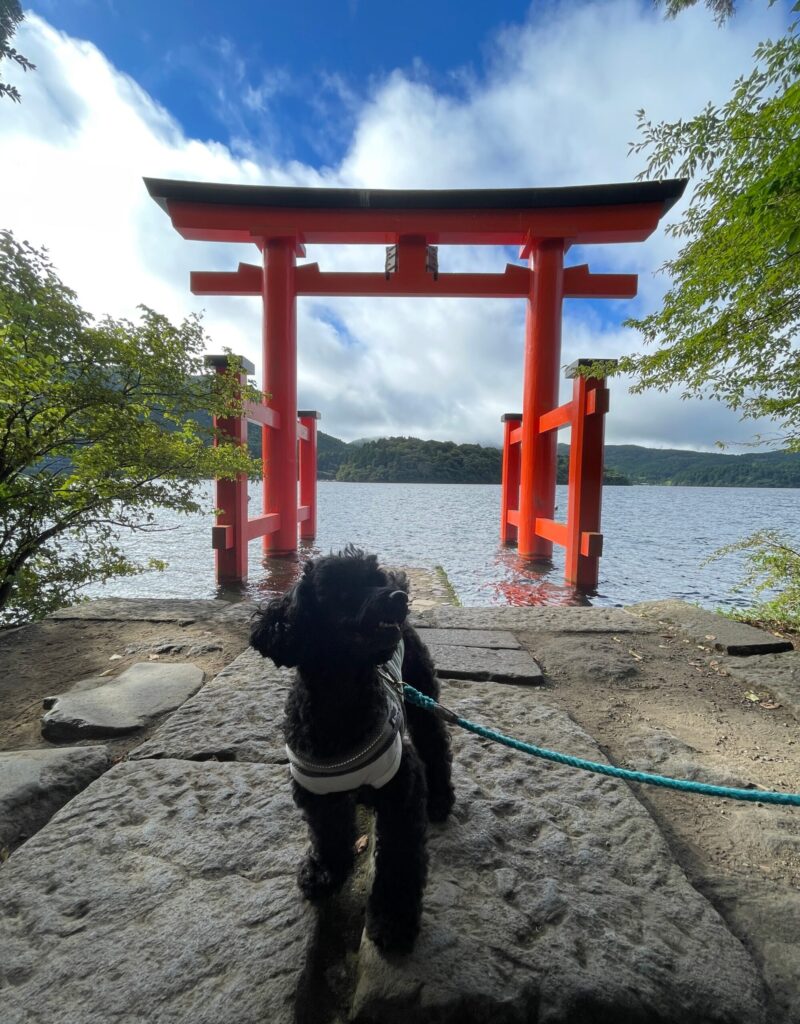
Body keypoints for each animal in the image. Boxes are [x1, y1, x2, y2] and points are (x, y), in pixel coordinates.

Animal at [249, 544, 452, 950]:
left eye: (375, 579)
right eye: (342, 590)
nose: (398, 597)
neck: (341, 700)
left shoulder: (401, 786)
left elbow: (399, 859)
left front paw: (393, 922)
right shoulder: (316, 791)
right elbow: (328, 834)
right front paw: (324, 874)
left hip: (420, 693)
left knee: (436, 745)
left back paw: (440, 800)